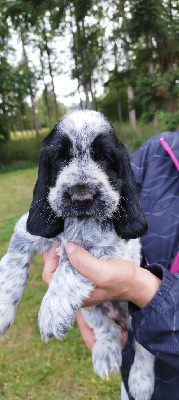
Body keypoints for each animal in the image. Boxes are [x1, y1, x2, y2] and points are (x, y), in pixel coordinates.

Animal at [0, 110, 154, 400]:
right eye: (60, 158)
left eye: (105, 159)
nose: (81, 197)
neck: (79, 221)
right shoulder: (27, 231)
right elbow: (13, 263)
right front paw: (2, 309)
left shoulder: (109, 249)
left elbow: (70, 265)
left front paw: (51, 312)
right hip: (91, 310)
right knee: (107, 330)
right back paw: (105, 355)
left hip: (138, 311)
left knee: (144, 347)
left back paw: (141, 381)